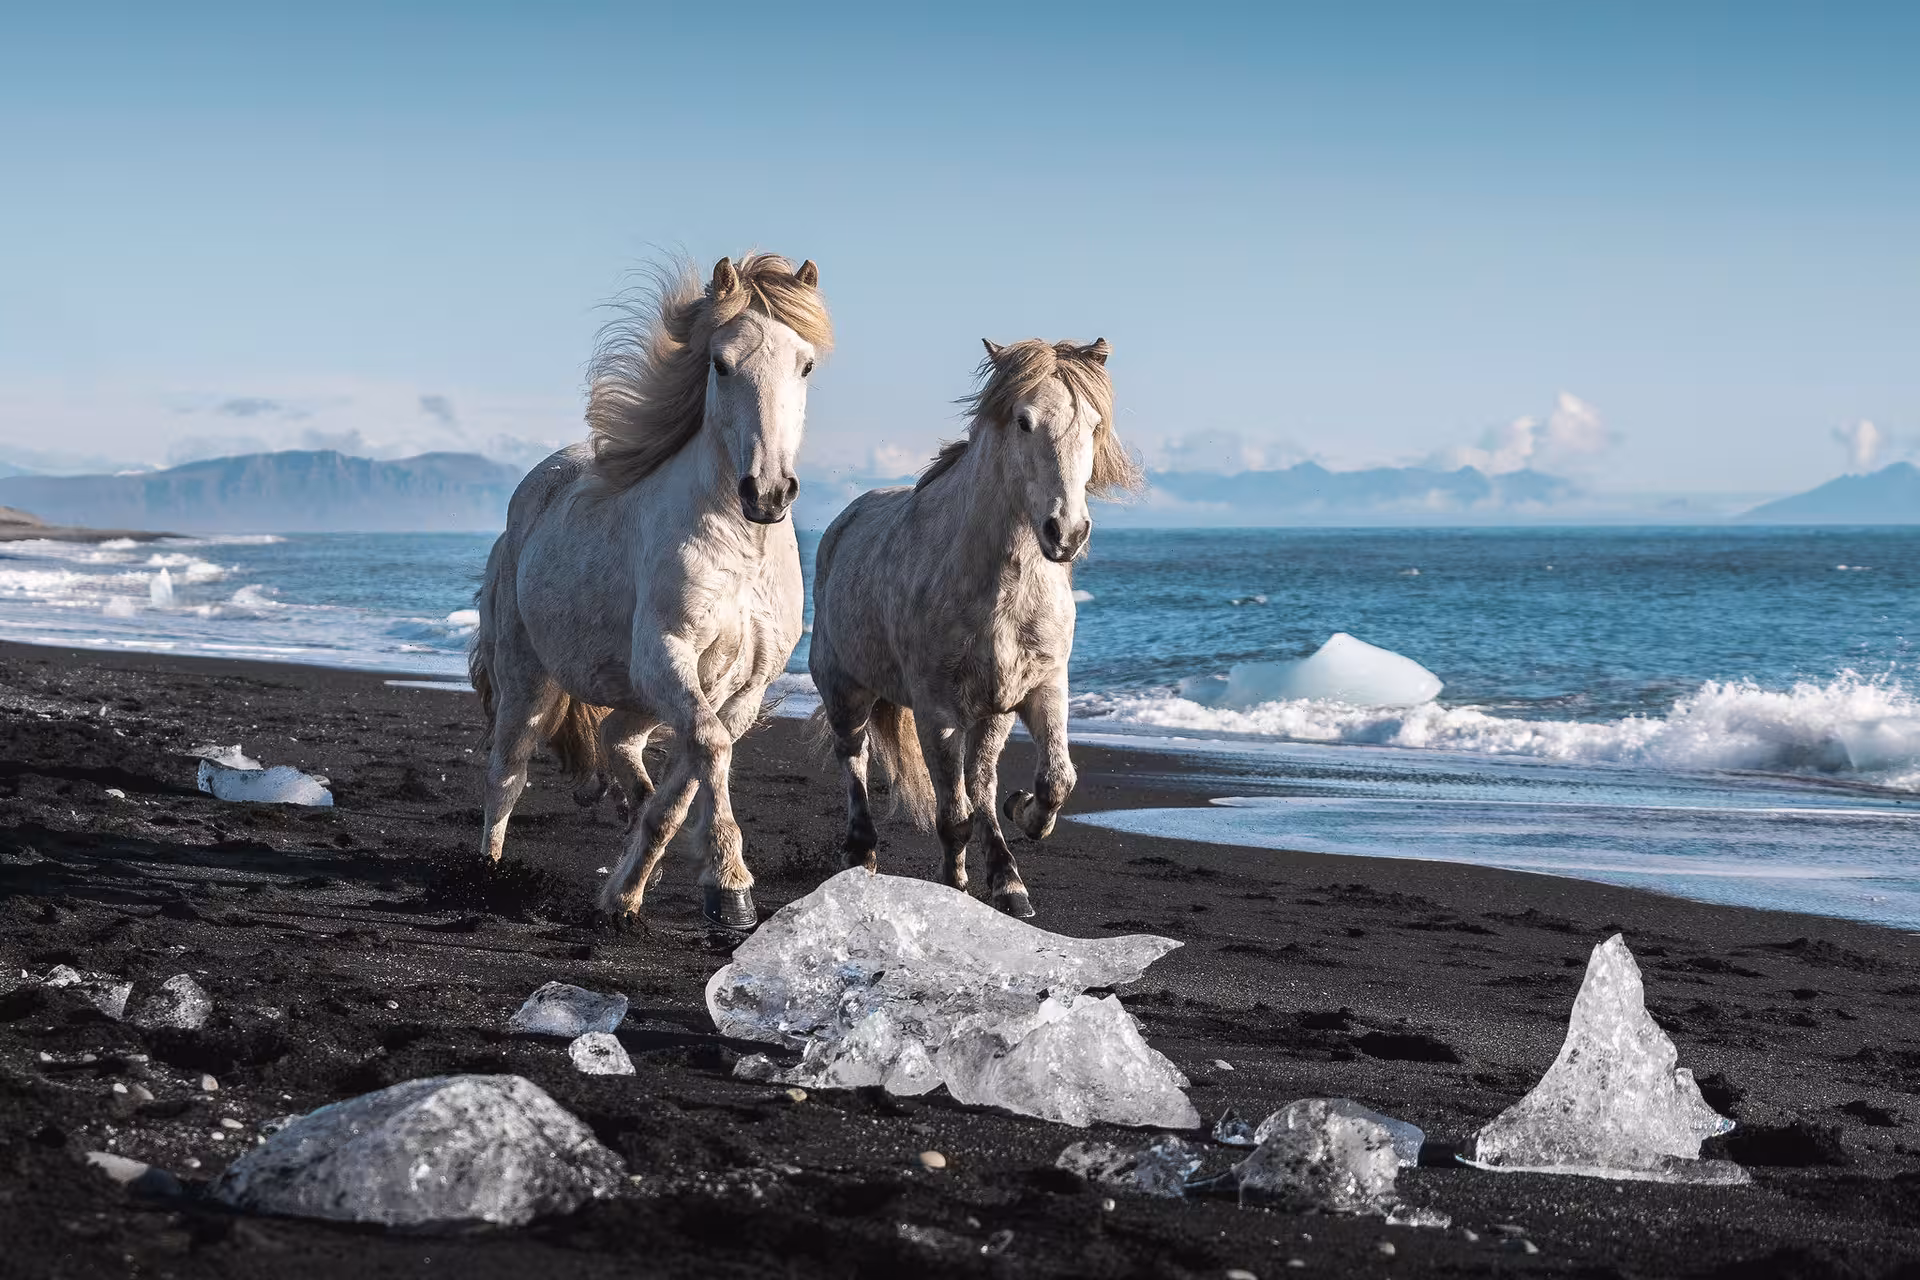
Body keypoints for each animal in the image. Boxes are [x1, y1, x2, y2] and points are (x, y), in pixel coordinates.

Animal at [469, 253, 831, 930]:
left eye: (805, 364)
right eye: (721, 363)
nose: (767, 492)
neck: (739, 549)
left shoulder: (741, 688)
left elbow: (694, 770)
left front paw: (633, 889)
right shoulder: (666, 652)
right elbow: (707, 751)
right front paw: (730, 889)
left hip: (635, 691)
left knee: (618, 738)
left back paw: (630, 816)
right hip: (528, 676)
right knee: (507, 769)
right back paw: (486, 876)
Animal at [807, 337, 1141, 917]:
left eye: (1094, 423)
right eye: (1025, 421)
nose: (1067, 532)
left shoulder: (1040, 689)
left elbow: (1056, 780)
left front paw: (1022, 819)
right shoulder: (937, 709)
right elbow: (952, 815)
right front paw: (953, 884)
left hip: (990, 715)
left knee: (980, 782)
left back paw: (1006, 875)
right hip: (846, 691)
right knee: (855, 757)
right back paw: (860, 853)